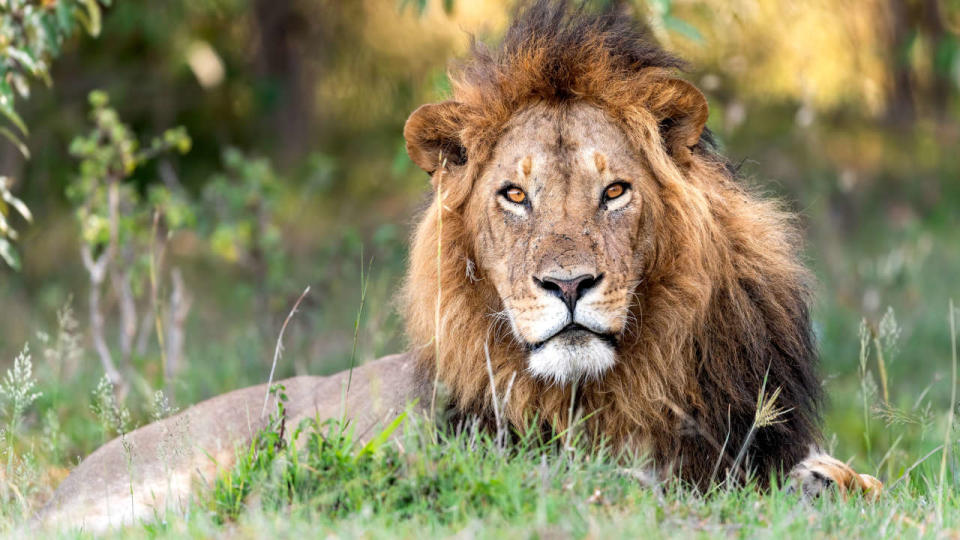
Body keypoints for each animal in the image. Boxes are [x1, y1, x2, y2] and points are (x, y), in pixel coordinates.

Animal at [35, 0, 876, 532]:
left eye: (614, 191)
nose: (568, 286)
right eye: (514, 195)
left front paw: (830, 484)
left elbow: (845, 479)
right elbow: (604, 478)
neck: (624, 384)